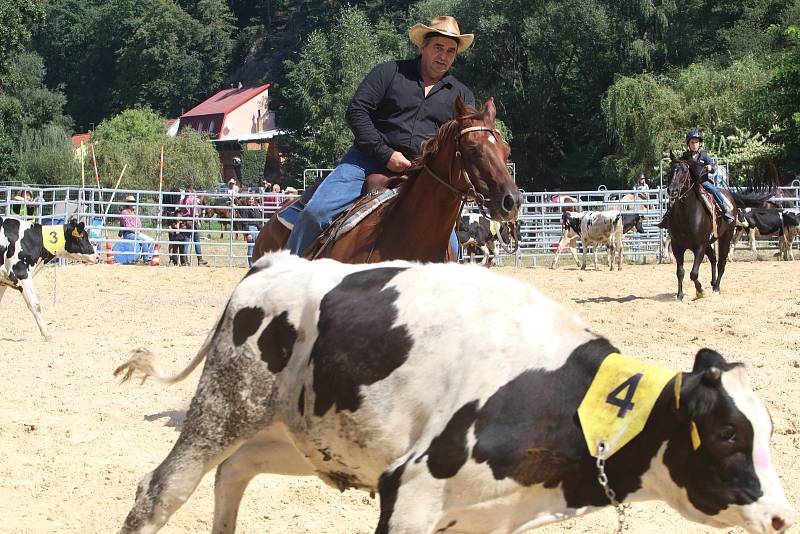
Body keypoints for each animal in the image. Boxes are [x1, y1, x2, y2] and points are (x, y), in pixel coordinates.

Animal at [664, 154, 776, 302]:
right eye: (670, 170)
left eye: (684, 171)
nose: (672, 190)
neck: (686, 215)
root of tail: (731, 197)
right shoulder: (678, 246)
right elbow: (680, 271)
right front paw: (680, 295)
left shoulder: (699, 246)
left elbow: (694, 273)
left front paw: (700, 291)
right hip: (709, 243)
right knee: (713, 259)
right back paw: (712, 283)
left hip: (725, 238)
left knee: (721, 263)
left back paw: (716, 288)